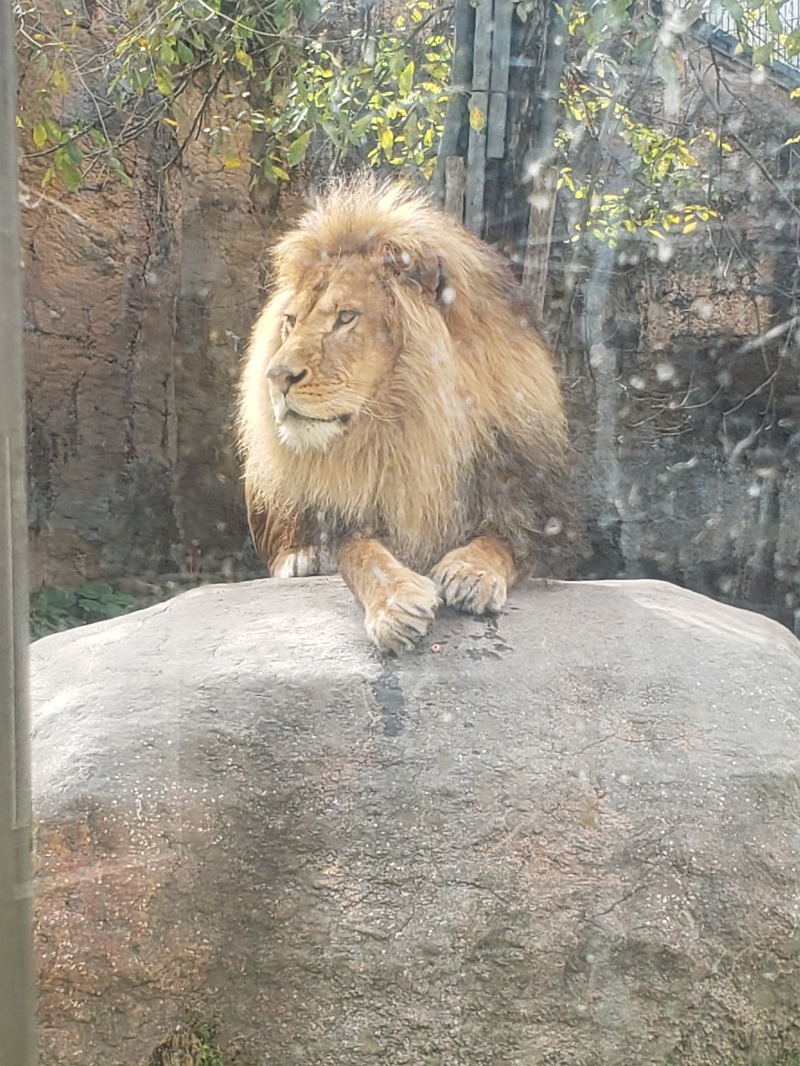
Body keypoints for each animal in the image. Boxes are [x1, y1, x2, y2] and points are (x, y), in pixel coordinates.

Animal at [237, 179, 584, 652]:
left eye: (346, 317)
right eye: (290, 321)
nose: (276, 376)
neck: (409, 431)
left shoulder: (537, 513)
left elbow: (503, 542)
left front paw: (471, 572)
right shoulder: (350, 518)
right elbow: (361, 553)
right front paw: (396, 604)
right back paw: (302, 558)